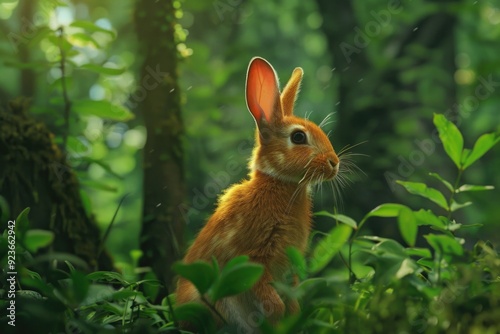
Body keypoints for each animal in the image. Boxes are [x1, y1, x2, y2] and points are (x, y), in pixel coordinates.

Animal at [176, 57, 340, 332]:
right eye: (298, 137)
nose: (334, 163)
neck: (279, 183)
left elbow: (291, 301)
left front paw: (292, 319)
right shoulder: (252, 259)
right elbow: (272, 302)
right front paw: (277, 320)